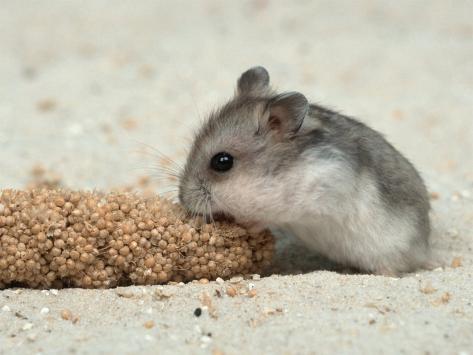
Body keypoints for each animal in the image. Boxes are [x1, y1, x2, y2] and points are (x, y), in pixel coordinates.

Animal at [178, 66, 432, 276]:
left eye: (222, 161)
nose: (183, 200)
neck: (275, 172)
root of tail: (425, 247)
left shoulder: (314, 196)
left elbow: (267, 217)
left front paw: (245, 224)